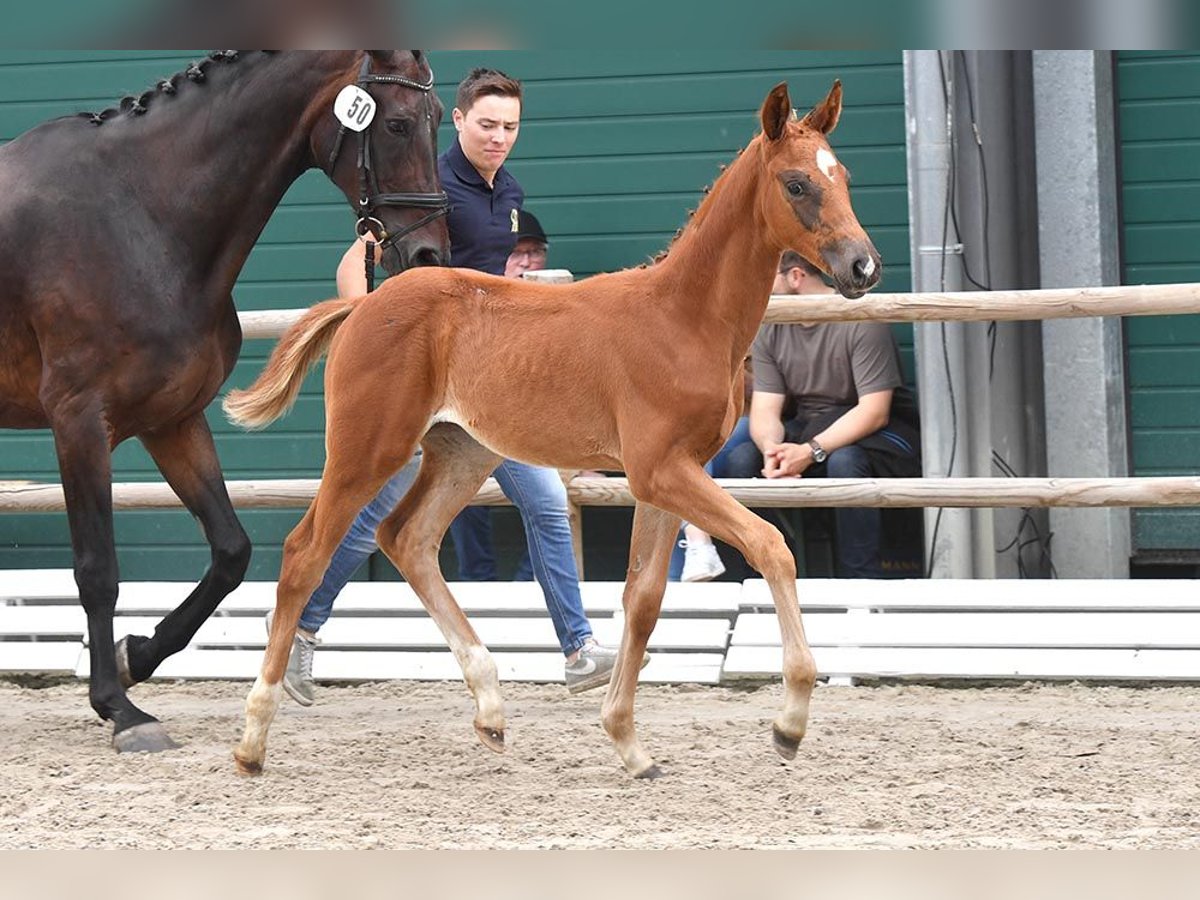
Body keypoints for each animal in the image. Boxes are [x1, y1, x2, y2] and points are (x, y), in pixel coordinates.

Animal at [0, 49, 451, 753]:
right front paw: (119, 709)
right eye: (399, 124)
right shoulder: (79, 421)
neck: (143, 216)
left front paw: (135, 657)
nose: (431, 255)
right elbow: (98, 569)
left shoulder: (173, 420)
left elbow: (231, 552)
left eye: (439, 118)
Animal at [226, 81, 883, 777]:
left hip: (463, 453)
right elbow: (770, 546)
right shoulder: (659, 469)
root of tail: (363, 304)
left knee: (407, 537)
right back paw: (253, 738)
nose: (864, 266)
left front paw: (628, 742)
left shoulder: (667, 476)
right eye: (796, 184)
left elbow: (643, 598)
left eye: (843, 177)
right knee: (306, 555)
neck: (684, 317)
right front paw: (790, 721)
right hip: (366, 449)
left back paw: (490, 707)